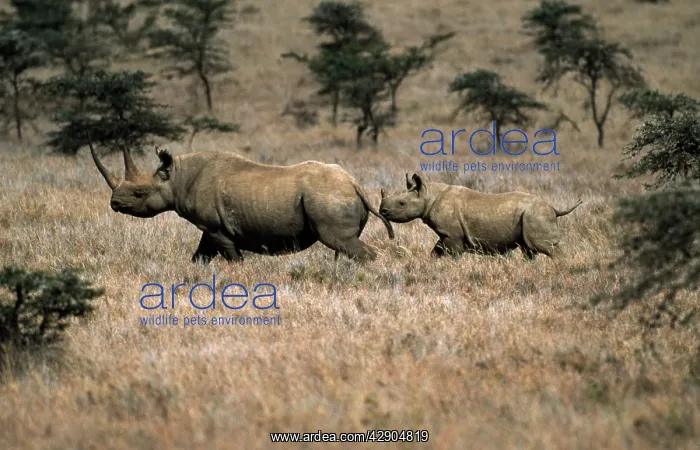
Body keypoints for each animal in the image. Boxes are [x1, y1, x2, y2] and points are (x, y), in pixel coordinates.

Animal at [87, 136, 394, 263]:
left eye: (140, 193)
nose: (115, 204)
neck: (176, 177)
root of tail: (354, 184)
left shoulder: (217, 229)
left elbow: (233, 258)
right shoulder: (210, 228)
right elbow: (199, 256)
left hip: (327, 196)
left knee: (340, 241)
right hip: (333, 195)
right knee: (343, 245)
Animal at [379, 173, 582, 259]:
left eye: (401, 203)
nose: (382, 211)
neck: (427, 195)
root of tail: (554, 208)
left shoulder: (452, 234)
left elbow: (452, 253)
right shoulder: (447, 234)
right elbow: (436, 250)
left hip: (535, 214)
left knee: (544, 246)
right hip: (531, 216)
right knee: (529, 250)